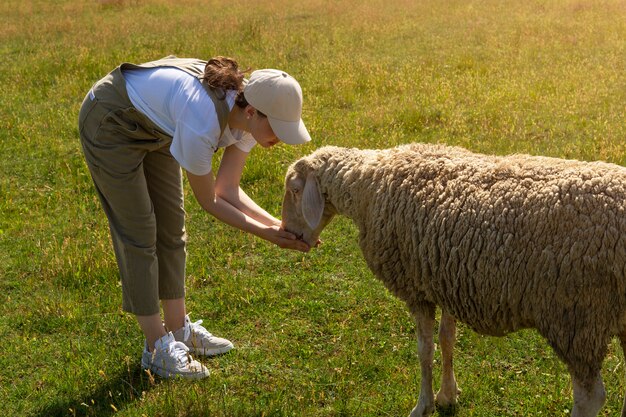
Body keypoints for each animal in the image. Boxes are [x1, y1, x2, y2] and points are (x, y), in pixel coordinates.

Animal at [280, 141, 624, 414]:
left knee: (591, 397)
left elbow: (424, 350)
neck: (368, 185)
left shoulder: (417, 289)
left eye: (295, 191)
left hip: (576, 315)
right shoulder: (444, 277)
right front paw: (447, 394)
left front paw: (423, 405)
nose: (290, 235)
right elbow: (447, 340)